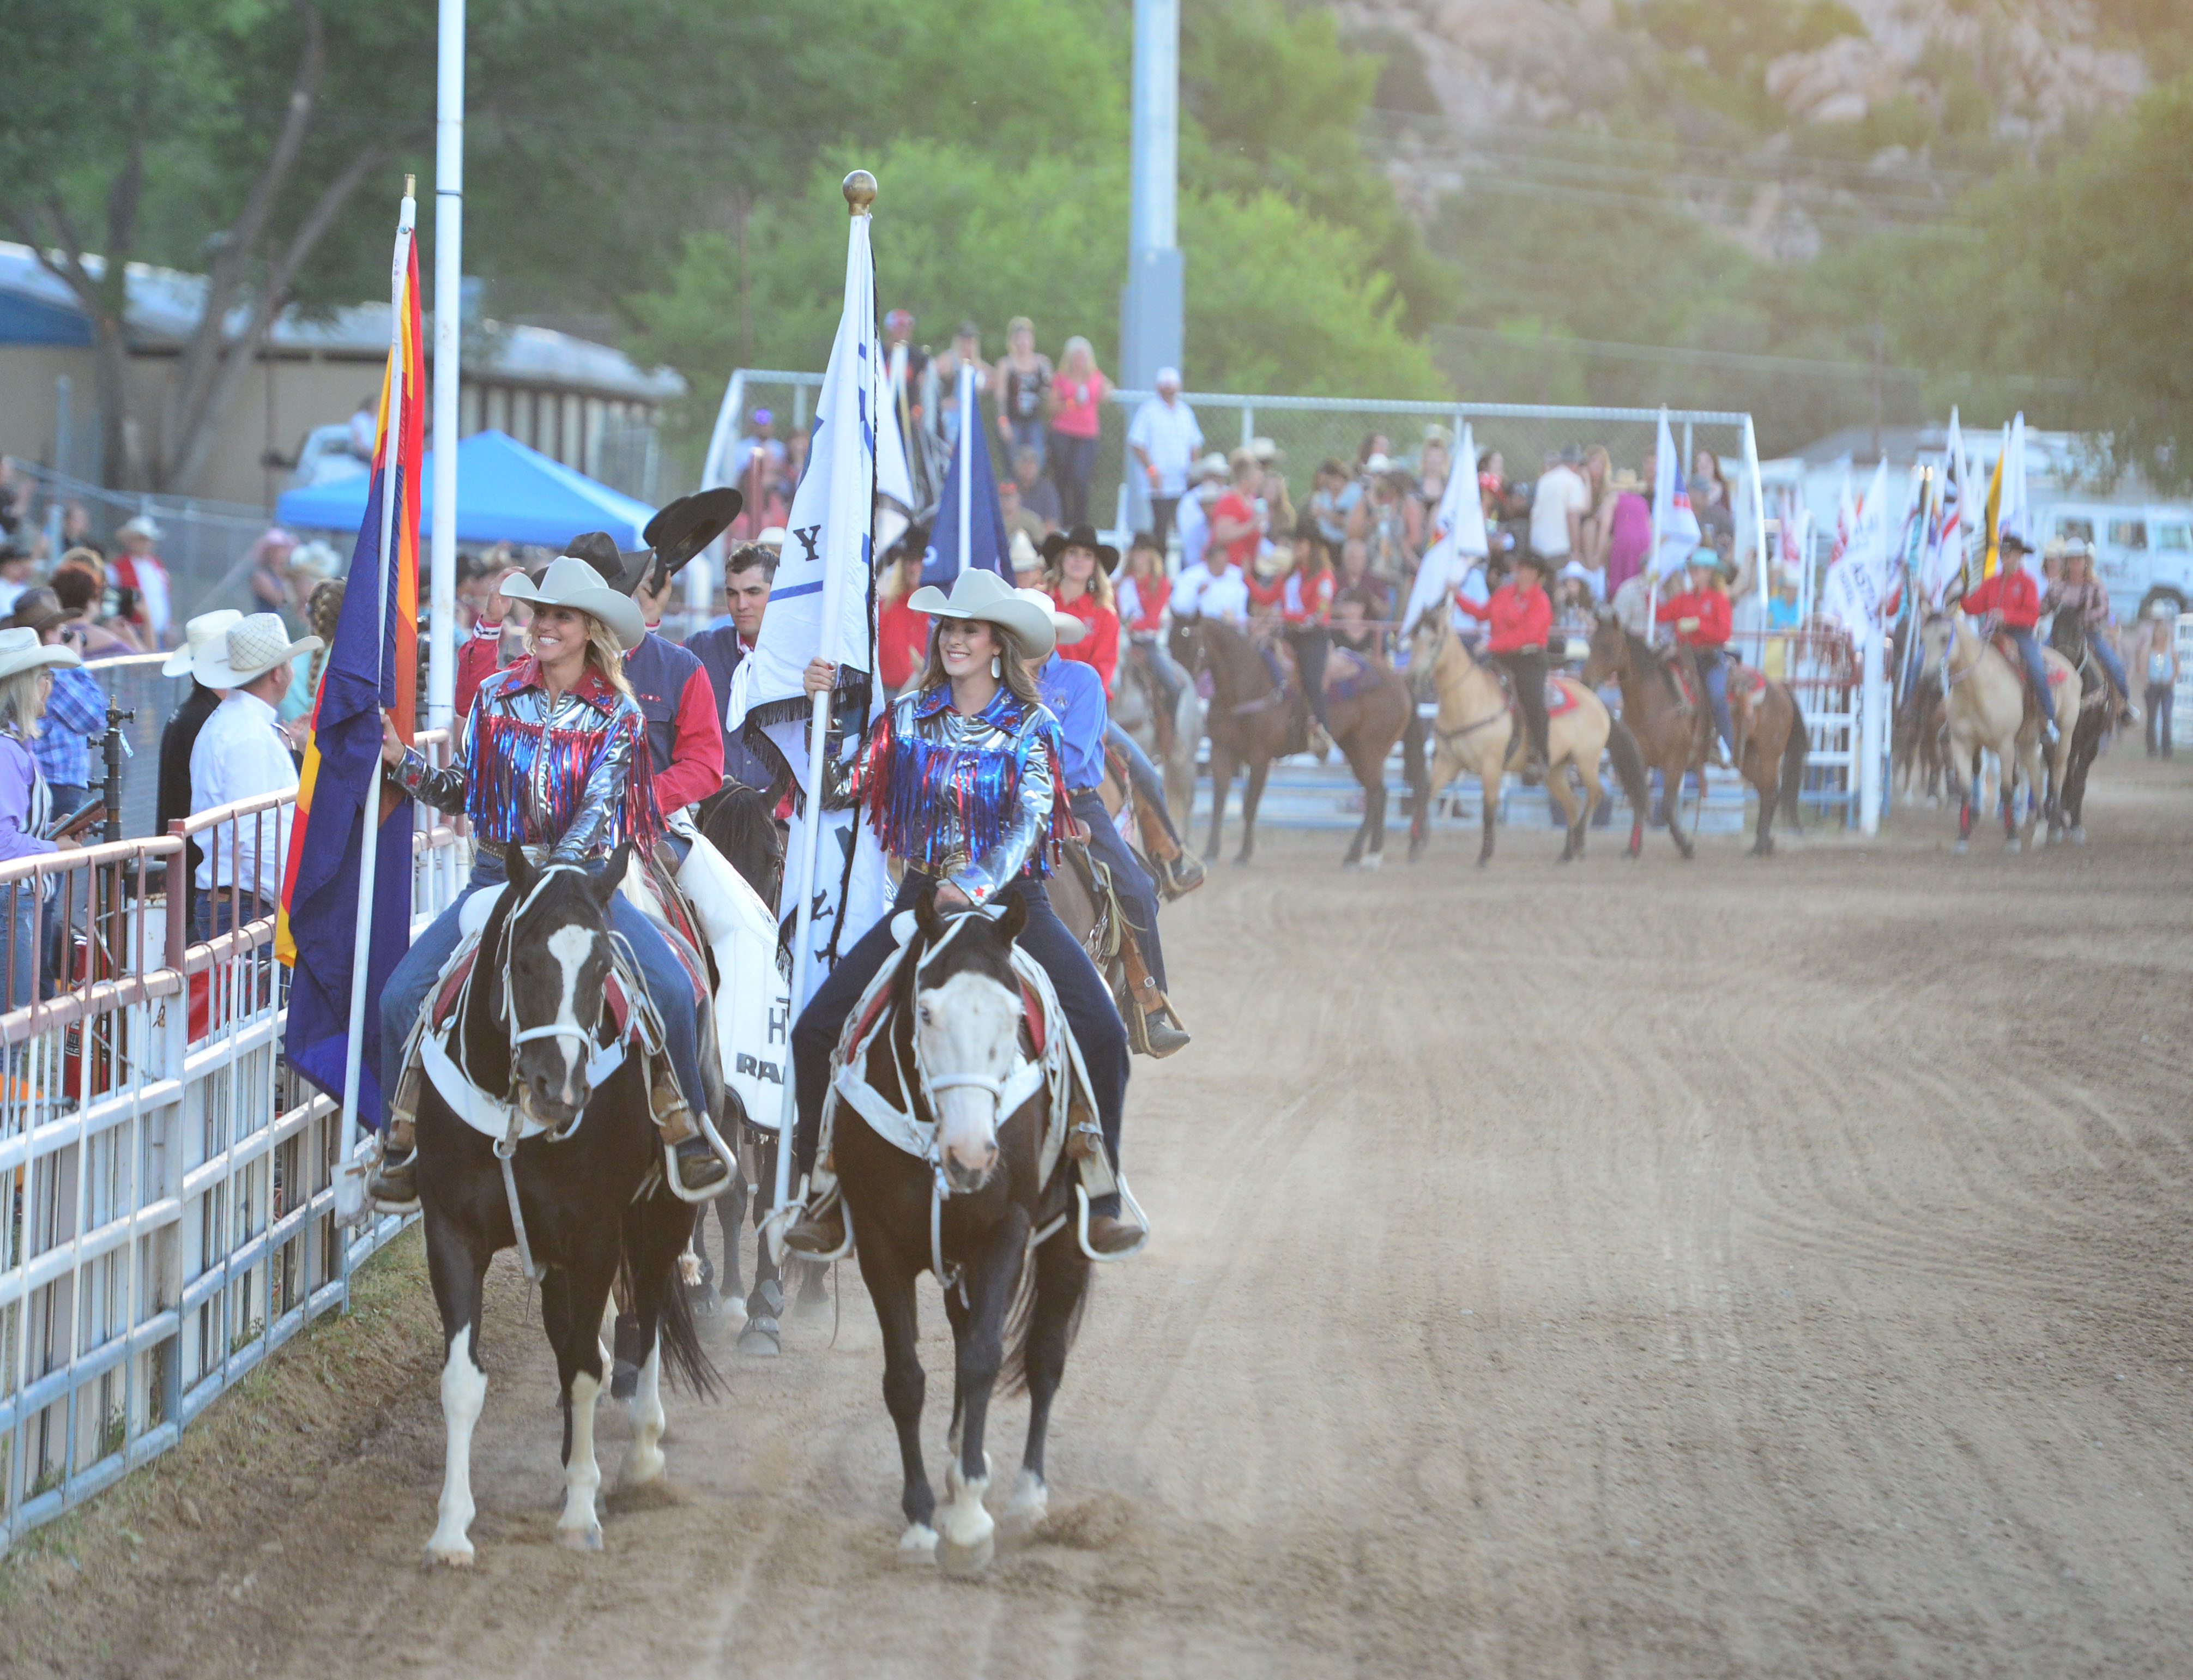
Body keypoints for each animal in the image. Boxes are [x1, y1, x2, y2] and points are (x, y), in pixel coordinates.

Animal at [412, 851, 719, 1570]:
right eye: (524, 961)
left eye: (603, 966)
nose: (562, 1089)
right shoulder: (451, 1231)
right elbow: (463, 1380)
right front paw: (451, 1529)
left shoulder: (594, 1234)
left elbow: (583, 1369)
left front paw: (581, 1512)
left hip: (662, 1214)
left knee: (650, 1312)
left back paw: (640, 1456)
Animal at [1167, 623, 1421, 881]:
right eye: (1169, 642)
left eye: (1190, 644)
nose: (1178, 680)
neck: (1247, 682)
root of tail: (1398, 681)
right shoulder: (1221, 752)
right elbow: (1219, 803)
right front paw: (1211, 852)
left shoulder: (1260, 757)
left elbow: (1250, 804)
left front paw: (1243, 854)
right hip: (1356, 749)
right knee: (1376, 795)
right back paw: (1360, 855)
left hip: (1368, 751)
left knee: (1377, 795)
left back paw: (1366, 856)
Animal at [1403, 609, 1649, 868]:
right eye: (1413, 639)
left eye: (1433, 642)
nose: (1411, 678)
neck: (1470, 700)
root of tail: (1598, 702)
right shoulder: (1447, 761)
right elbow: (1424, 794)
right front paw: (1414, 846)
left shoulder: (1491, 766)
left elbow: (1489, 810)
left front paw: (1484, 856)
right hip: (1555, 770)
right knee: (1572, 804)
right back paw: (1567, 852)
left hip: (1587, 760)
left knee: (1596, 794)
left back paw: (1580, 842)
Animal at [1587, 614, 1807, 860]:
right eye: (1590, 644)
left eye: (1608, 646)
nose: (1586, 680)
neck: (1653, 700)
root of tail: (1780, 687)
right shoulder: (1640, 760)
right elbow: (1639, 800)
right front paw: (1633, 850)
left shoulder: (1675, 761)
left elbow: (1666, 808)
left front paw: (1686, 846)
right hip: (1747, 756)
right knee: (1765, 791)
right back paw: (1765, 842)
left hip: (1769, 753)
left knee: (1770, 793)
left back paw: (1759, 847)